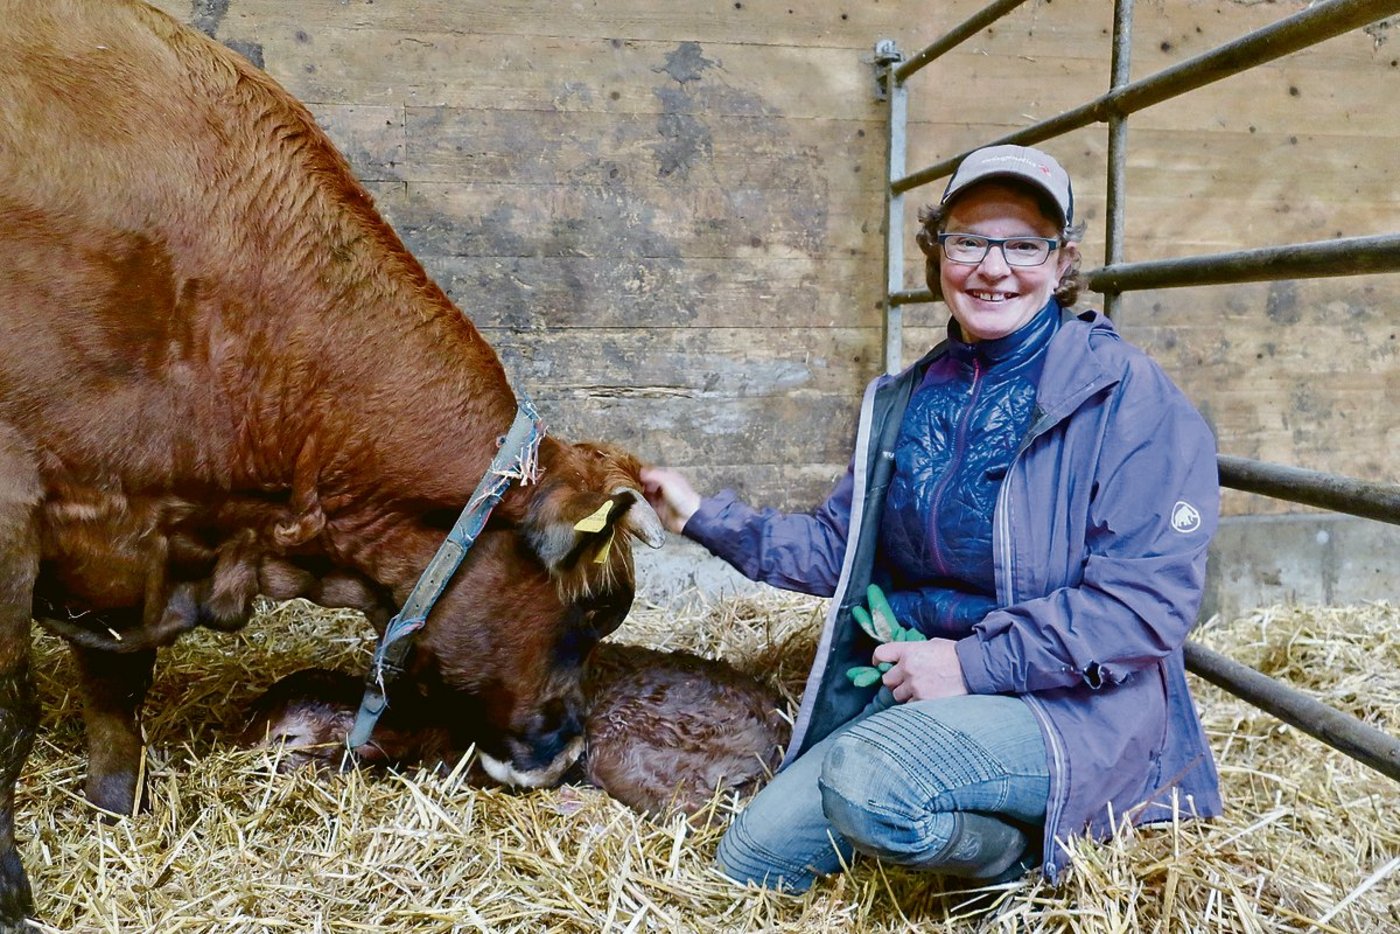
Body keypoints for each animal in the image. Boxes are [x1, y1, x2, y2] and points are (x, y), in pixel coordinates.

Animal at [0, 0, 666, 925]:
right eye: (599, 608)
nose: (570, 754)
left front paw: (117, 812)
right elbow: (9, 719)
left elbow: (114, 689)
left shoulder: (117, 534)